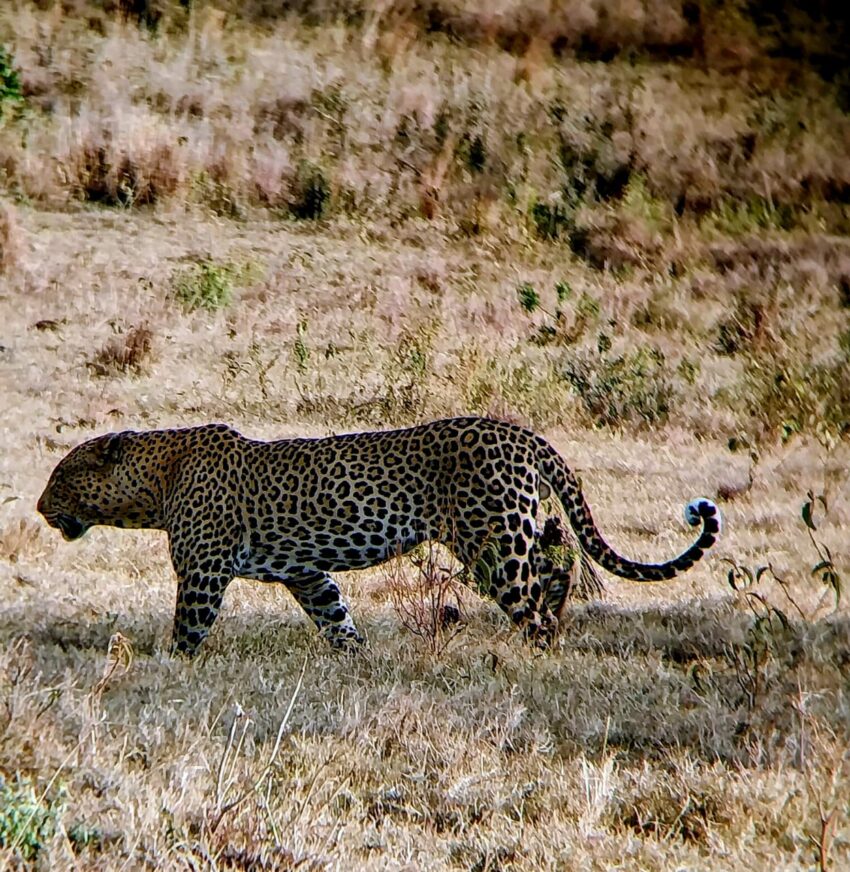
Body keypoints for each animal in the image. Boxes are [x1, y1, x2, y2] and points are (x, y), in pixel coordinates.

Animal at [37, 417, 721, 657]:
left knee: (535, 596)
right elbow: (333, 613)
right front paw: (356, 656)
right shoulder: (305, 572)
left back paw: (540, 650)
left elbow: (187, 628)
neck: (156, 481)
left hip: (493, 545)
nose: (42, 508)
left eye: (62, 476)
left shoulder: (203, 572)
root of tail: (523, 432)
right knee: (557, 567)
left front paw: (166, 665)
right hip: (517, 531)